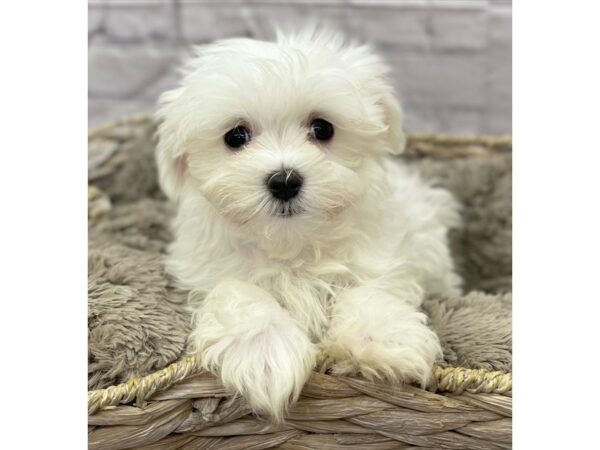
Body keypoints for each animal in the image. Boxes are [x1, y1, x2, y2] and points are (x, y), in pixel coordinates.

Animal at [154, 29, 460, 422]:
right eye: (235, 136)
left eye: (322, 128)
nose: (284, 181)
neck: (293, 245)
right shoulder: (207, 270)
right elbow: (238, 292)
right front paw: (265, 351)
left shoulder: (382, 252)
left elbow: (368, 288)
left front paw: (383, 337)